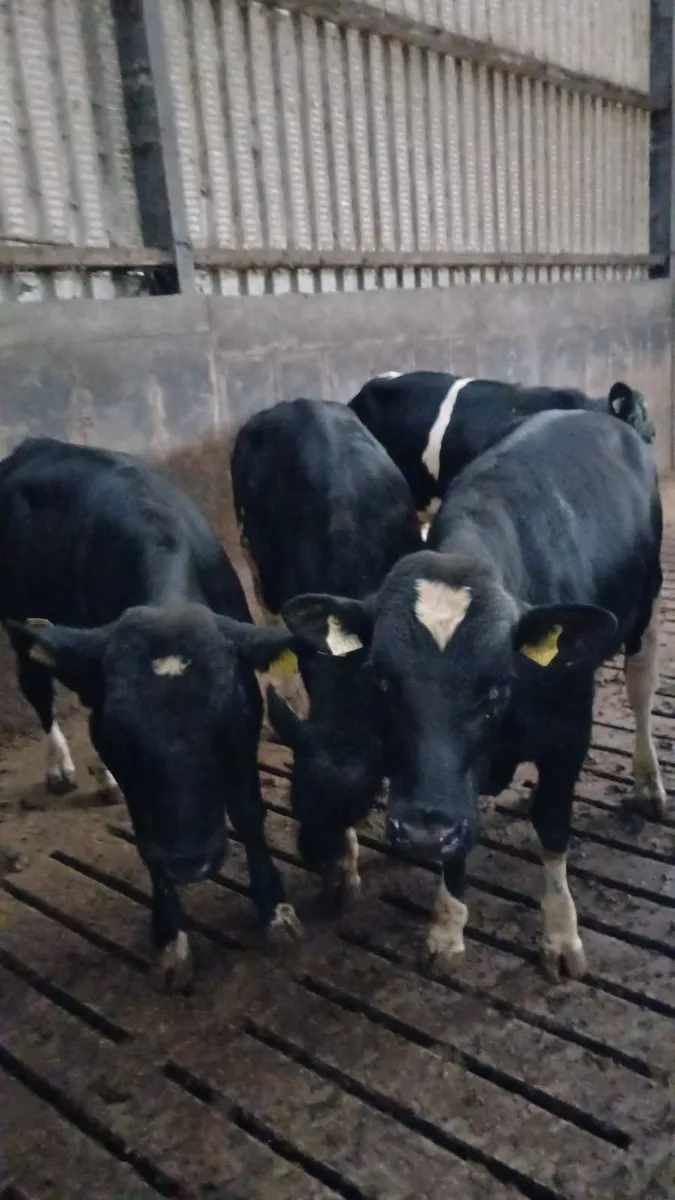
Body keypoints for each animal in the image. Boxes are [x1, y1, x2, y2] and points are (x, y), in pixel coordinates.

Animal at [0, 437, 300, 991]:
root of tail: (34, 445)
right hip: (23, 627)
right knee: (38, 692)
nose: (188, 862)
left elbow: (249, 811)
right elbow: (143, 834)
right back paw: (60, 768)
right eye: (121, 738)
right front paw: (170, 937)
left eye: (226, 725)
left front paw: (275, 909)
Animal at [280, 410, 664, 980]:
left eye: (497, 686)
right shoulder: (439, 786)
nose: (419, 834)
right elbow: (455, 830)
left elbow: (553, 828)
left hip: (644, 610)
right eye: (382, 680)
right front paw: (446, 927)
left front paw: (561, 935)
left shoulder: (568, 734)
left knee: (641, 687)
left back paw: (648, 782)